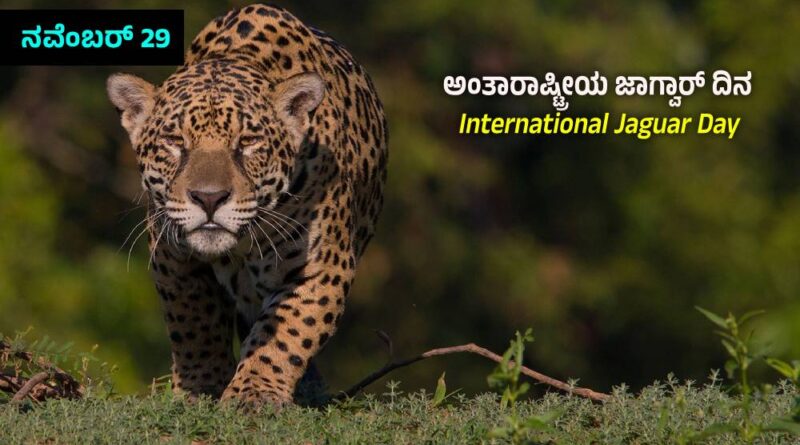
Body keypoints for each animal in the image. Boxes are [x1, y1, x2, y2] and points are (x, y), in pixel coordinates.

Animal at [106, 4, 387, 409]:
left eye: (248, 143)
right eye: (175, 142)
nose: (209, 198)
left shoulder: (321, 268)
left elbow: (285, 333)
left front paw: (254, 392)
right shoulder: (173, 260)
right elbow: (194, 323)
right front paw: (200, 386)